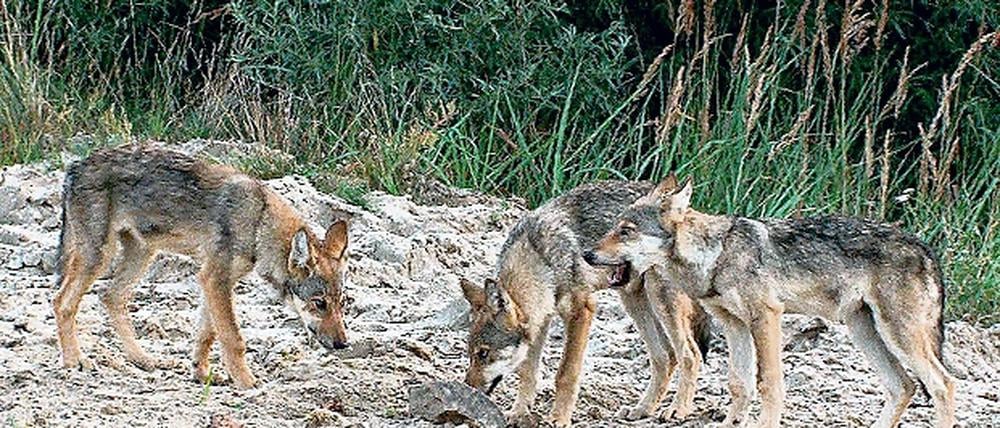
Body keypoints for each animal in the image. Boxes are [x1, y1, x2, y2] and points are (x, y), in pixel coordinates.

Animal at [52, 145, 351, 389]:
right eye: (319, 303)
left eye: (341, 303)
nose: (343, 344)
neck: (258, 221)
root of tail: (75, 166)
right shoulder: (215, 279)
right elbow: (233, 339)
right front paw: (248, 383)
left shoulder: (215, 281)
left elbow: (206, 335)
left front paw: (202, 374)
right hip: (99, 258)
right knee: (62, 301)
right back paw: (74, 361)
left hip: (141, 255)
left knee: (110, 297)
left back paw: (144, 360)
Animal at [459, 180, 710, 427]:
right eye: (471, 353)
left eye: (483, 353)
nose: (468, 390)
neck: (541, 258)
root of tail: (688, 210)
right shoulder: (541, 320)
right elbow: (528, 372)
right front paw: (519, 413)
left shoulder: (582, 310)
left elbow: (565, 373)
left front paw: (559, 418)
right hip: (635, 302)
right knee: (665, 358)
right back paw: (642, 410)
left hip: (661, 303)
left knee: (690, 355)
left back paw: (678, 410)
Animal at [585, 175, 957, 428]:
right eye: (613, 228)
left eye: (626, 231)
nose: (587, 254)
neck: (716, 255)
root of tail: (926, 247)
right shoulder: (734, 324)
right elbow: (739, 383)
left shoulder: (766, 317)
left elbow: (768, 383)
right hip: (865, 332)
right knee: (904, 386)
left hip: (899, 335)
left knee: (943, 384)